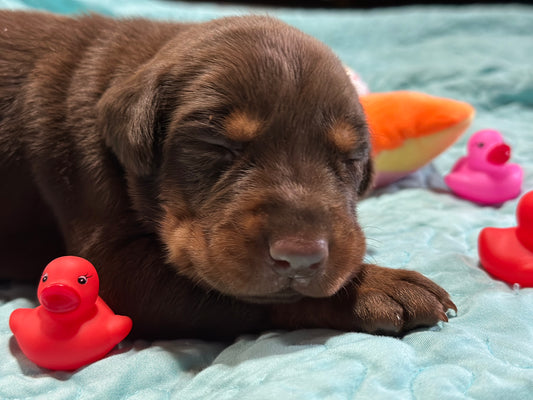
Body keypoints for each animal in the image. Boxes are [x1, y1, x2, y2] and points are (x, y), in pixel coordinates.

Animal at [1, 10, 454, 340]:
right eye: (215, 146)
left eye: (350, 157)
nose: (301, 256)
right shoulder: (111, 264)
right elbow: (252, 296)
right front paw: (379, 287)